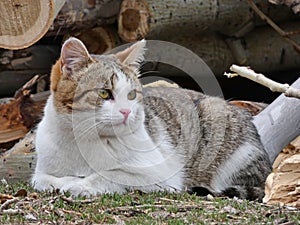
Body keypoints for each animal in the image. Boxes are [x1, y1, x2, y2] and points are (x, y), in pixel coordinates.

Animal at [31, 37, 274, 200]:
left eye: (131, 95)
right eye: (104, 93)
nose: (126, 111)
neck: (85, 141)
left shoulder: (160, 174)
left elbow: (109, 174)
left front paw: (81, 184)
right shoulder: (40, 171)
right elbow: (43, 179)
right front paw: (66, 181)